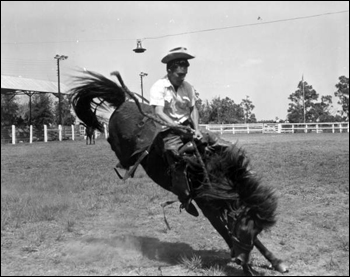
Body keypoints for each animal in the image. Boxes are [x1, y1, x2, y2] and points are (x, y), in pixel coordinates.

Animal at [69, 69, 288, 274]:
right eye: (244, 228)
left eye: (256, 230)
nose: (241, 258)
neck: (208, 170)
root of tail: (124, 103)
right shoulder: (208, 207)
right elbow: (224, 232)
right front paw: (246, 266)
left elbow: (240, 236)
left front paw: (275, 262)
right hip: (119, 144)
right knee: (118, 149)